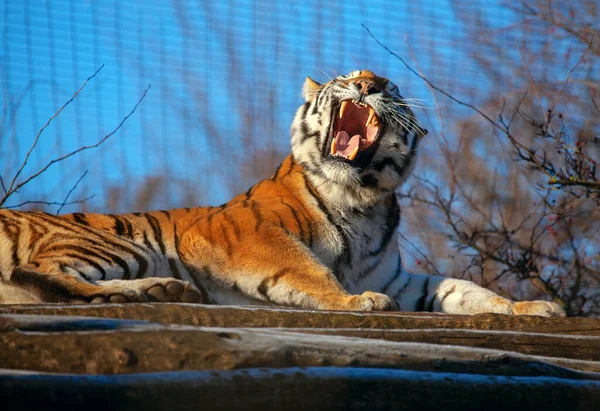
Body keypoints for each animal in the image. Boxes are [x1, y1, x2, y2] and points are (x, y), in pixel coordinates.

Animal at [0, 71, 568, 318]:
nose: (370, 84)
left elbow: (464, 290)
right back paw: (156, 292)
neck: (361, 200)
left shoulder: (402, 279)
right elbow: (306, 269)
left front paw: (531, 307)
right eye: (348, 76)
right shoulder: (246, 235)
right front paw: (355, 302)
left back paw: (161, 292)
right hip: (115, 241)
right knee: (40, 274)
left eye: (391, 88)